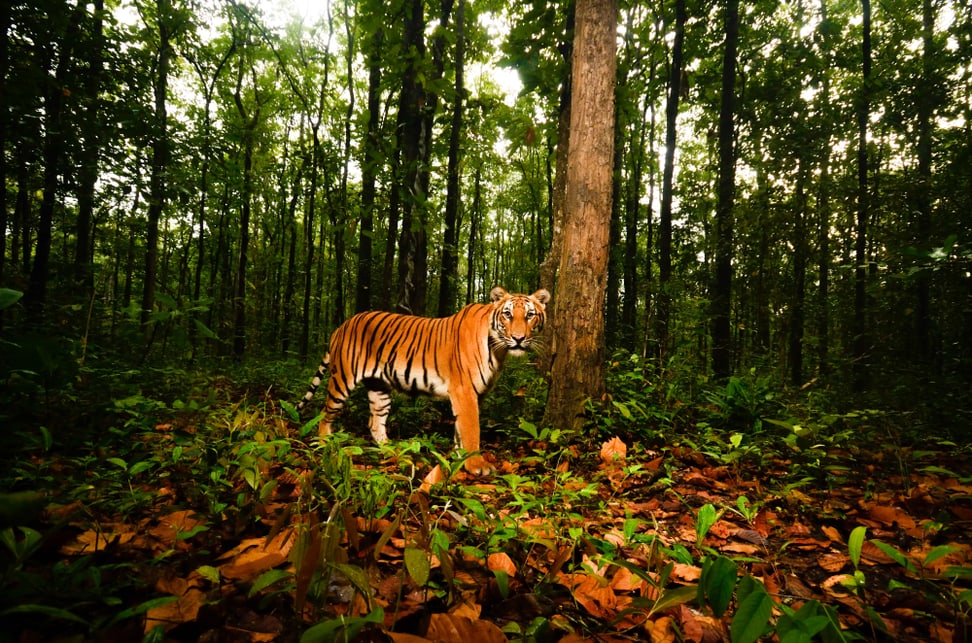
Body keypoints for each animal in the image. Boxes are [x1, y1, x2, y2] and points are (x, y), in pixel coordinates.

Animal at [296, 286, 551, 475]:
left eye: (530, 315)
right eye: (507, 314)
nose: (518, 339)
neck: (498, 350)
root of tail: (342, 325)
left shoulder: (475, 394)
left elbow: (460, 429)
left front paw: (458, 460)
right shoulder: (464, 391)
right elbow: (471, 430)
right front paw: (475, 465)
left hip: (379, 388)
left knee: (375, 422)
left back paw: (393, 451)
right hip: (343, 379)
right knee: (325, 414)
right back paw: (324, 445)